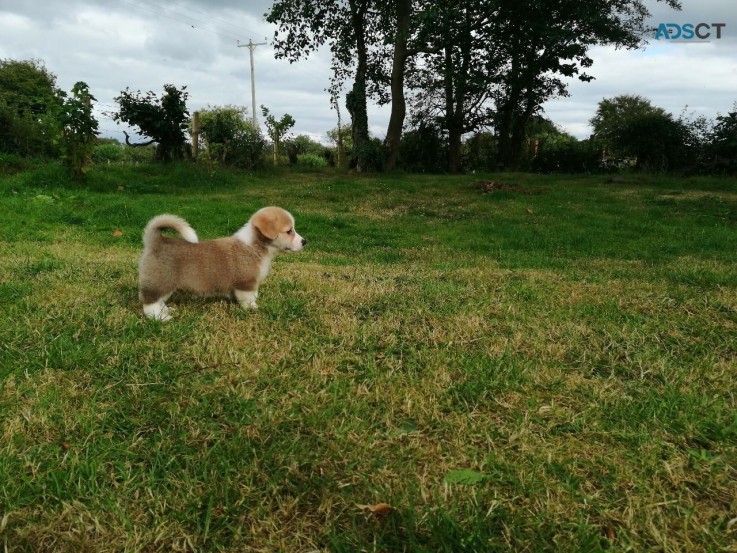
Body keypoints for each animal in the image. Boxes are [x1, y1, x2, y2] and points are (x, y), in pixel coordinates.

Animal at [138, 206, 304, 320]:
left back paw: (166, 310)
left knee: (159, 300)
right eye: (289, 231)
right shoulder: (247, 283)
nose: (305, 242)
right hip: (162, 281)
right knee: (150, 302)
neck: (254, 245)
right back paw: (160, 317)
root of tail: (155, 241)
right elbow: (249, 298)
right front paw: (253, 308)